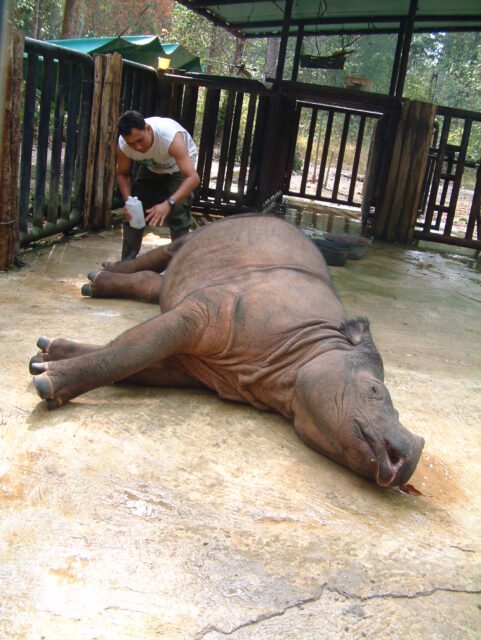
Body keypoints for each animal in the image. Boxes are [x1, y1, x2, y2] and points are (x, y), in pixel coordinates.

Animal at [30, 215, 424, 487]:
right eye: (374, 391)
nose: (413, 453)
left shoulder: (197, 369)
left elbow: (132, 356)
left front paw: (45, 357)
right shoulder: (207, 313)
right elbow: (127, 353)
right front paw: (47, 384)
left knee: (159, 286)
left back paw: (94, 285)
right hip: (222, 227)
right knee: (173, 247)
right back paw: (99, 275)